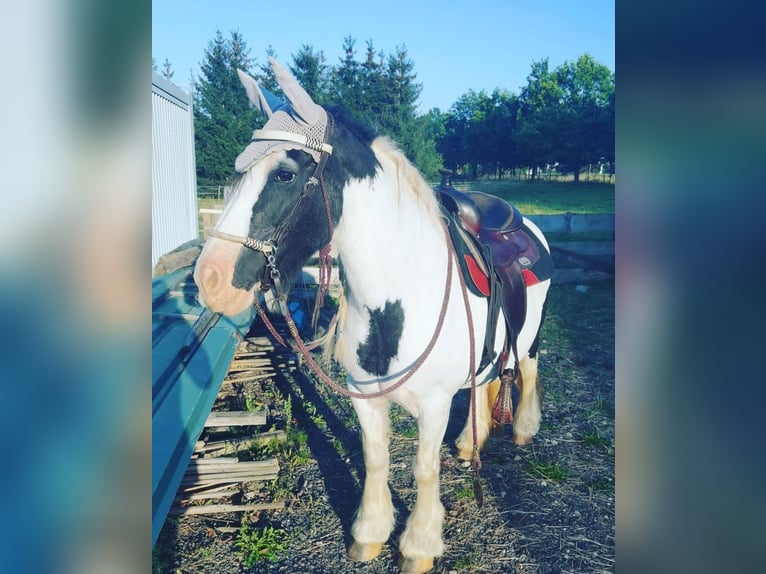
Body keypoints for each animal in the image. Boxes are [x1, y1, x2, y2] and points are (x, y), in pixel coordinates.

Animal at [194, 59, 552, 574]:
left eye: (284, 174)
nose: (210, 279)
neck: (402, 296)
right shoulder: (363, 395)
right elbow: (375, 457)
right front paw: (369, 534)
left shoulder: (434, 404)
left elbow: (424, 469)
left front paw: (419, 546)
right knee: (484, 382)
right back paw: (470, 443)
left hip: (529, 336)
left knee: (527, 367)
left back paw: (523, 431)